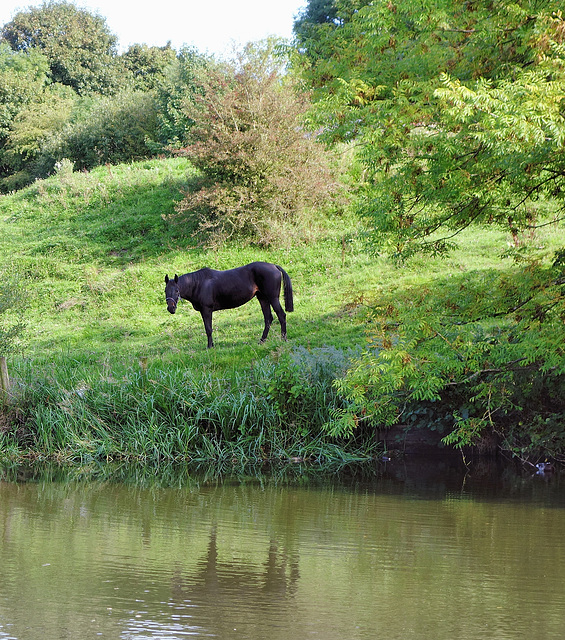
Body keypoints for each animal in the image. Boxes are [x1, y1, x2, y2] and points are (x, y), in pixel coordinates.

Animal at [163, 262, 294, 348]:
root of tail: (274, 266)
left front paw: (210, 347)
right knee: (268, 319)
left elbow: (208, 329)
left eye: (177, 291)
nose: (171, 308)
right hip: (262, 298)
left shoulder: (206, 310)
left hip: (273, 298)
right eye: (165, 291)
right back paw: (261, 341)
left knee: (281, 315)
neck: (198, 284)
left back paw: (283, 339)